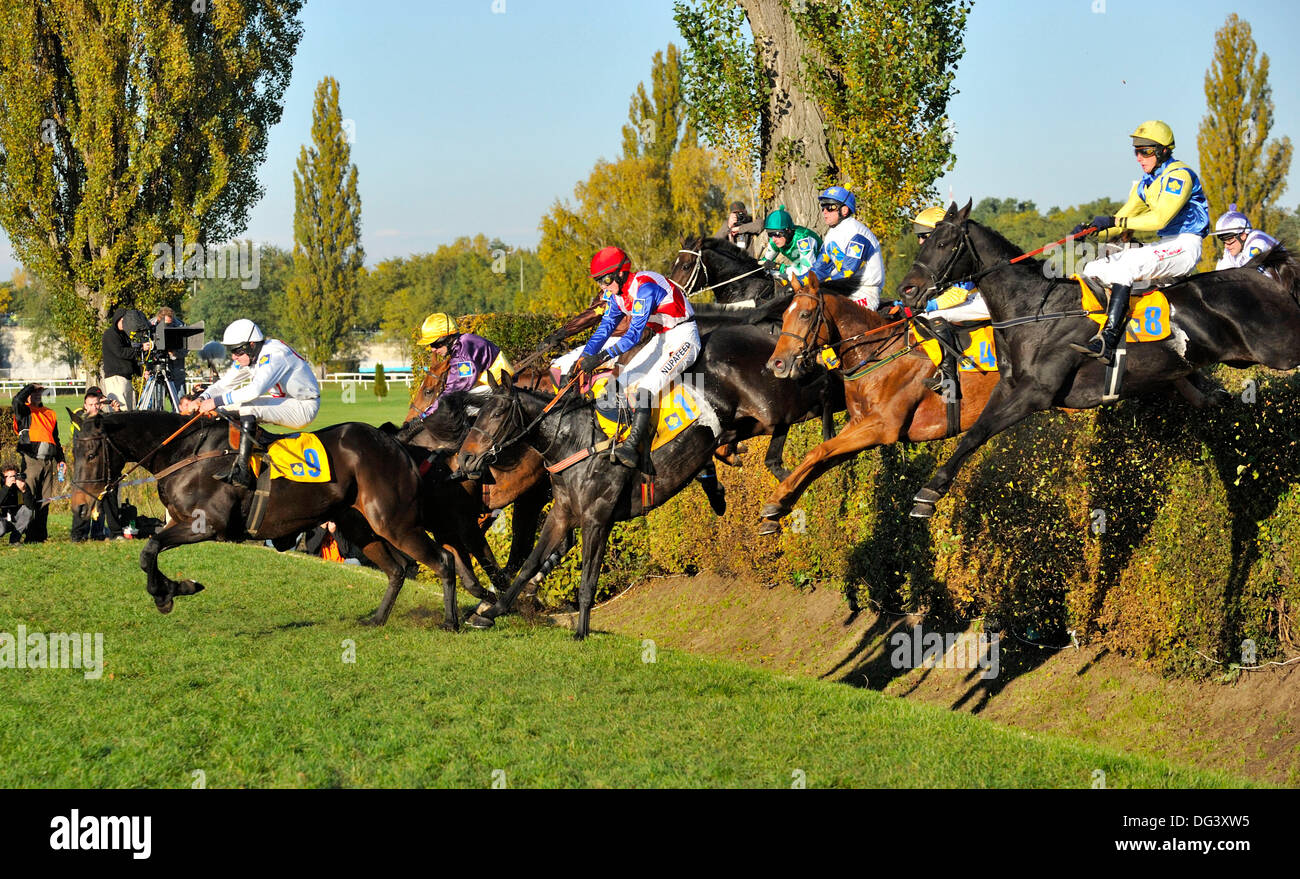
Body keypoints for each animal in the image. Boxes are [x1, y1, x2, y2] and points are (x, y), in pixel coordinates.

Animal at [69, 410, 462, 624]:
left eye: (90, 453)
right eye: (73, 451)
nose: (78, 504)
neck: (186, 453)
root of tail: (393, 441)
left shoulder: (205, 524)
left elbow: (148, 550)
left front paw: (170, 592)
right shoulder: (177, 522)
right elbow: (150, 553)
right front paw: (174, 588)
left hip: (394, 522)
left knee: (443, 561)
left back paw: (450, 621)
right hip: (360, 525)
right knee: (397, 570)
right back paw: (377, 619)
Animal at [759, 274, 998, 535]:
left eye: (805, 314)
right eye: (783, 315)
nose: (777, 363)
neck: (875, 354)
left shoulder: (883, 426)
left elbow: (817, 452)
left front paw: (777, 499)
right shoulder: (858, 424)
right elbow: (822, 459)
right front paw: (778, 505)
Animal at [899, 202, 1300, 517]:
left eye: (944, 243)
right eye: (927, 240)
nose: (907, 290)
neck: (1035, 309)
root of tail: (1261, 273)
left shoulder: (1035, 393)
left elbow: (978, 433)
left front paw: (928, 493)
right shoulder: (1010, 387)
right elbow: (974, 433)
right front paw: (930, 491)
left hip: (1281, 347)